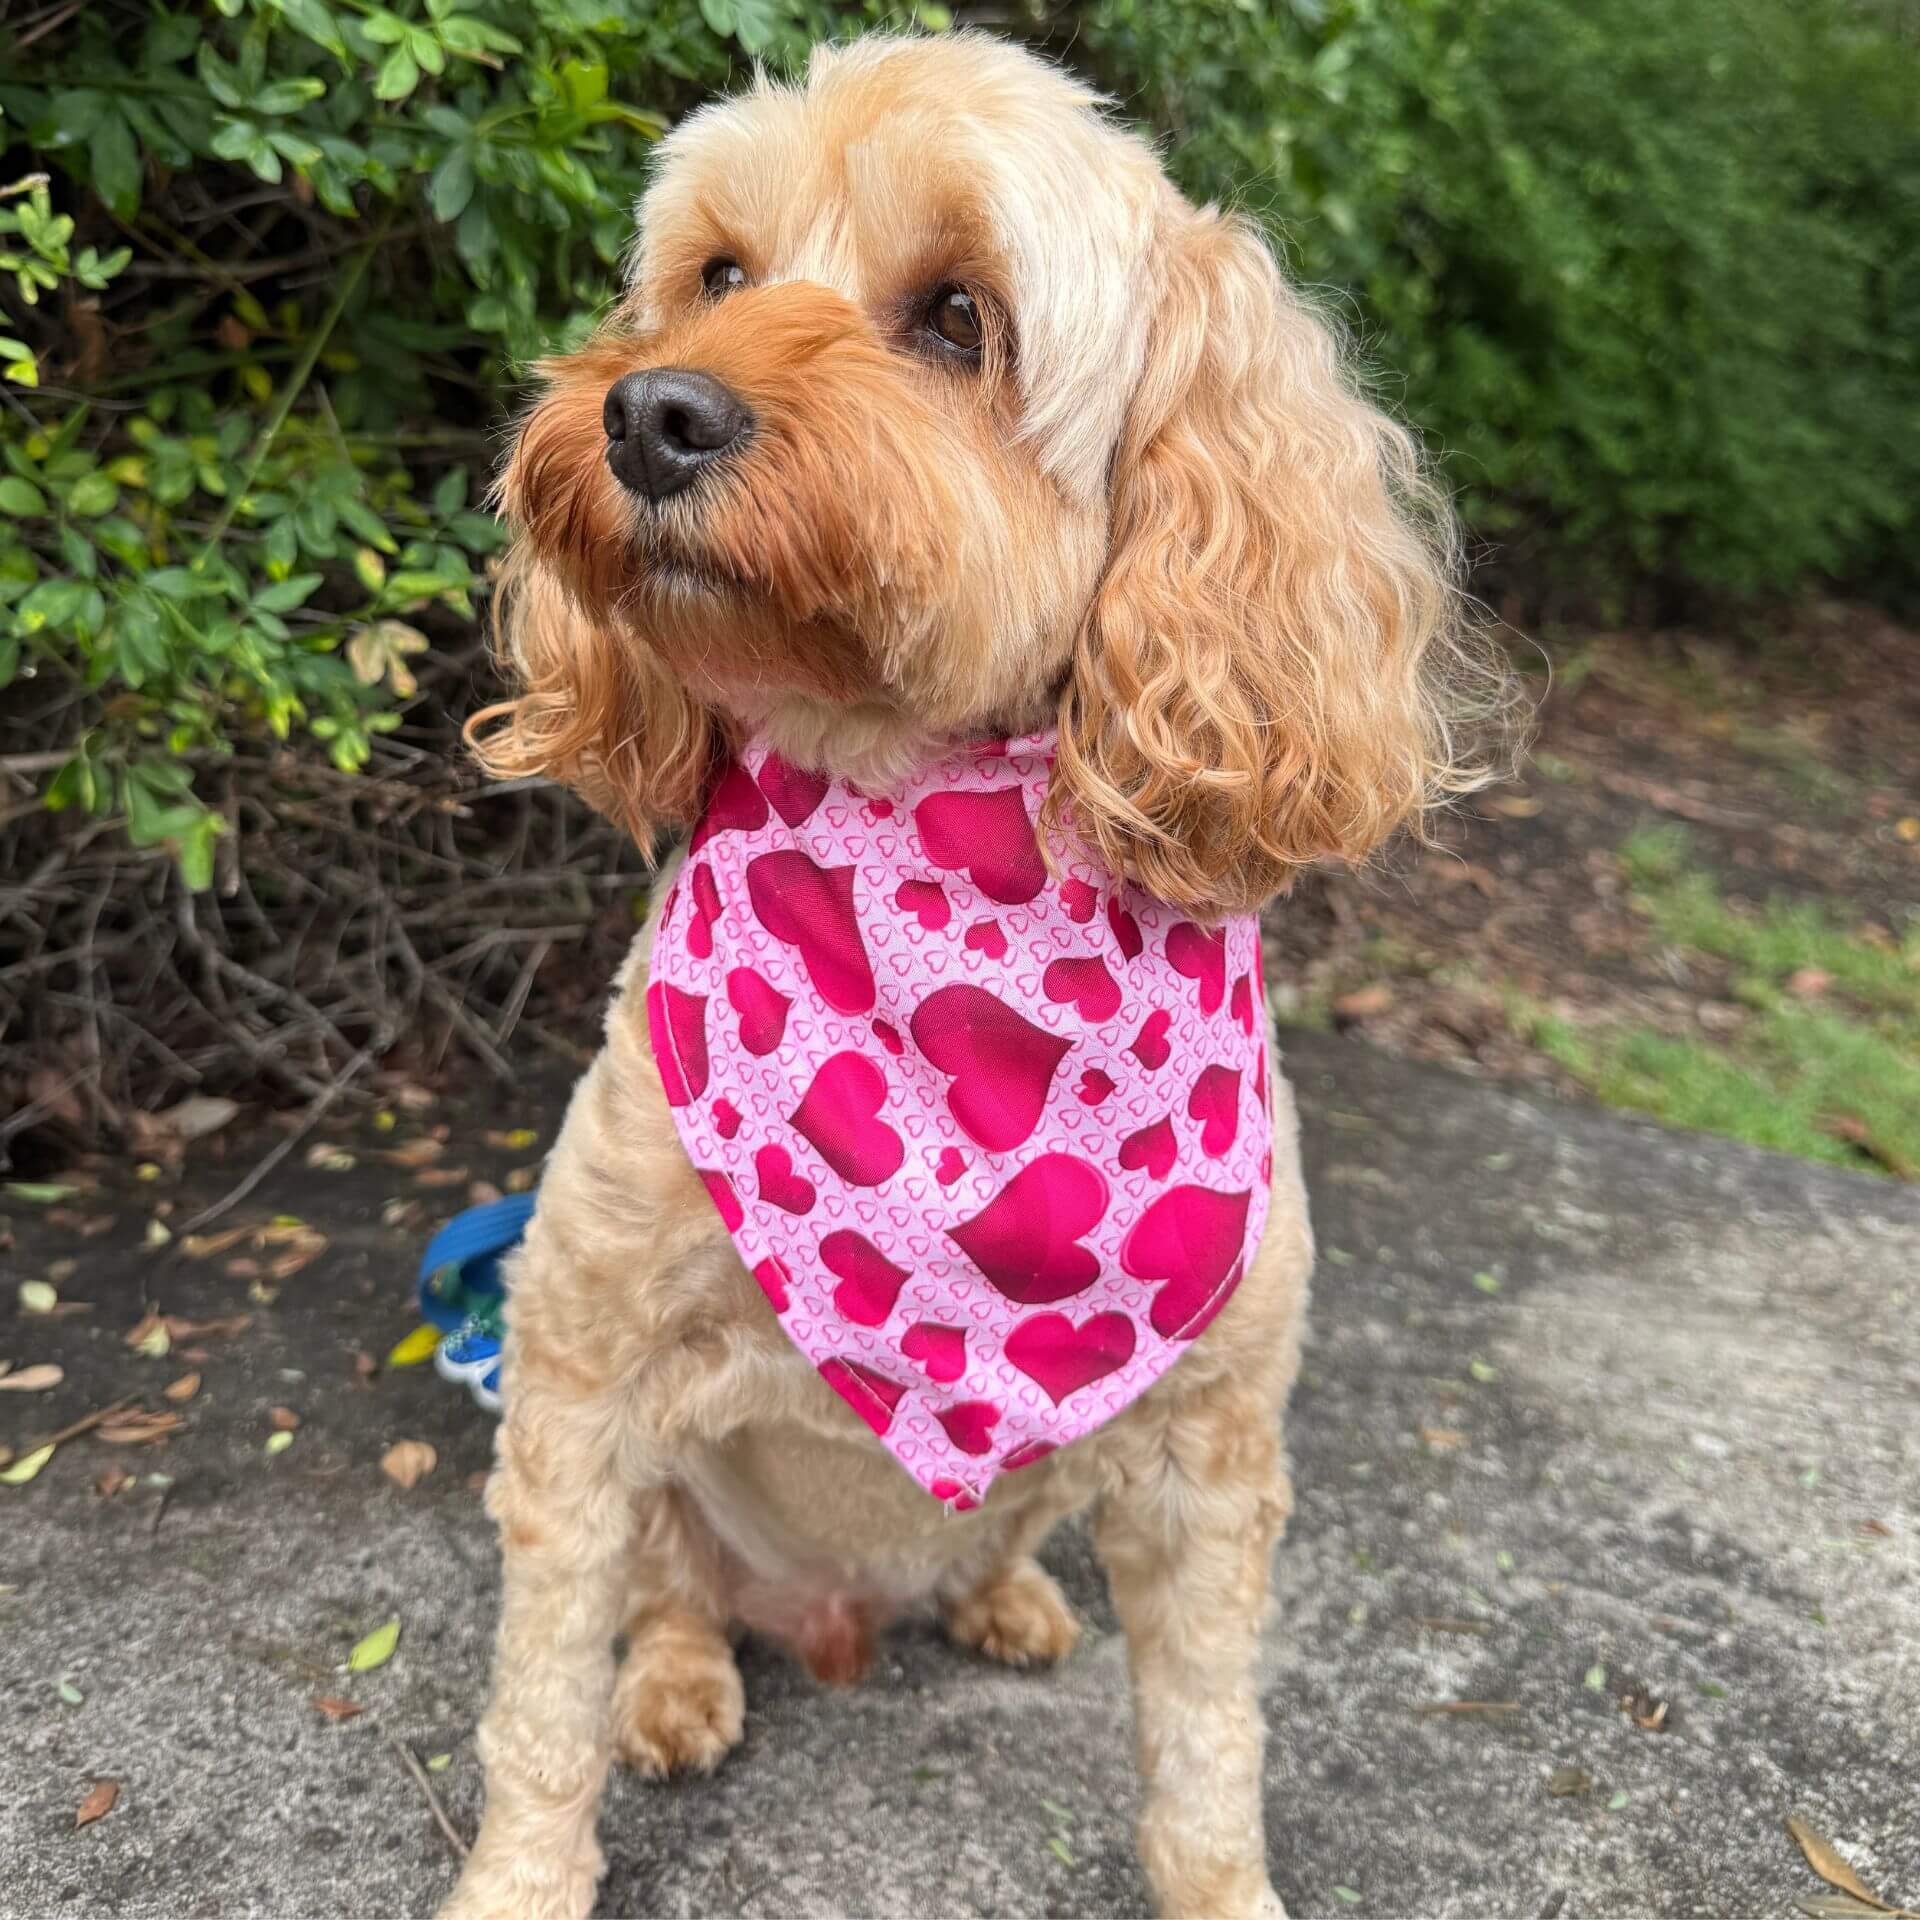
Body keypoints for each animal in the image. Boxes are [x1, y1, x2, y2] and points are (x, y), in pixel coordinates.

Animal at [445, 30, 1497, 1920]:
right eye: (715, 275)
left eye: (956, 316)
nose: (649, 412)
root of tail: (840, 1613)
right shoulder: (575, 1375)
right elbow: (539, 1702)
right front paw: (517, 1880)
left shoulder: (1213, 1458)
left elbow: (1210, 1749)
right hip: (673, 1500)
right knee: (670, 1603)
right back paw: (684, 1687)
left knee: (999, 1534)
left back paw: (1004, 1601)